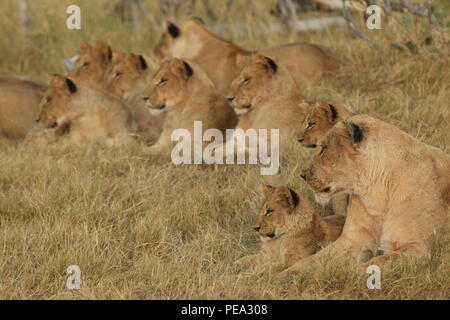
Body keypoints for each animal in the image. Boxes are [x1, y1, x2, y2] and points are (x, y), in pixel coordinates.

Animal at [282, 114, 450, 276]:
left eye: (323, 148)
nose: (302, 175)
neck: (377, 192)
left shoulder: (417, 248)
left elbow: (374, 264)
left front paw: (333, 275)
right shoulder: (353, 239)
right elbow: (310, 260)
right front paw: (284, 276)